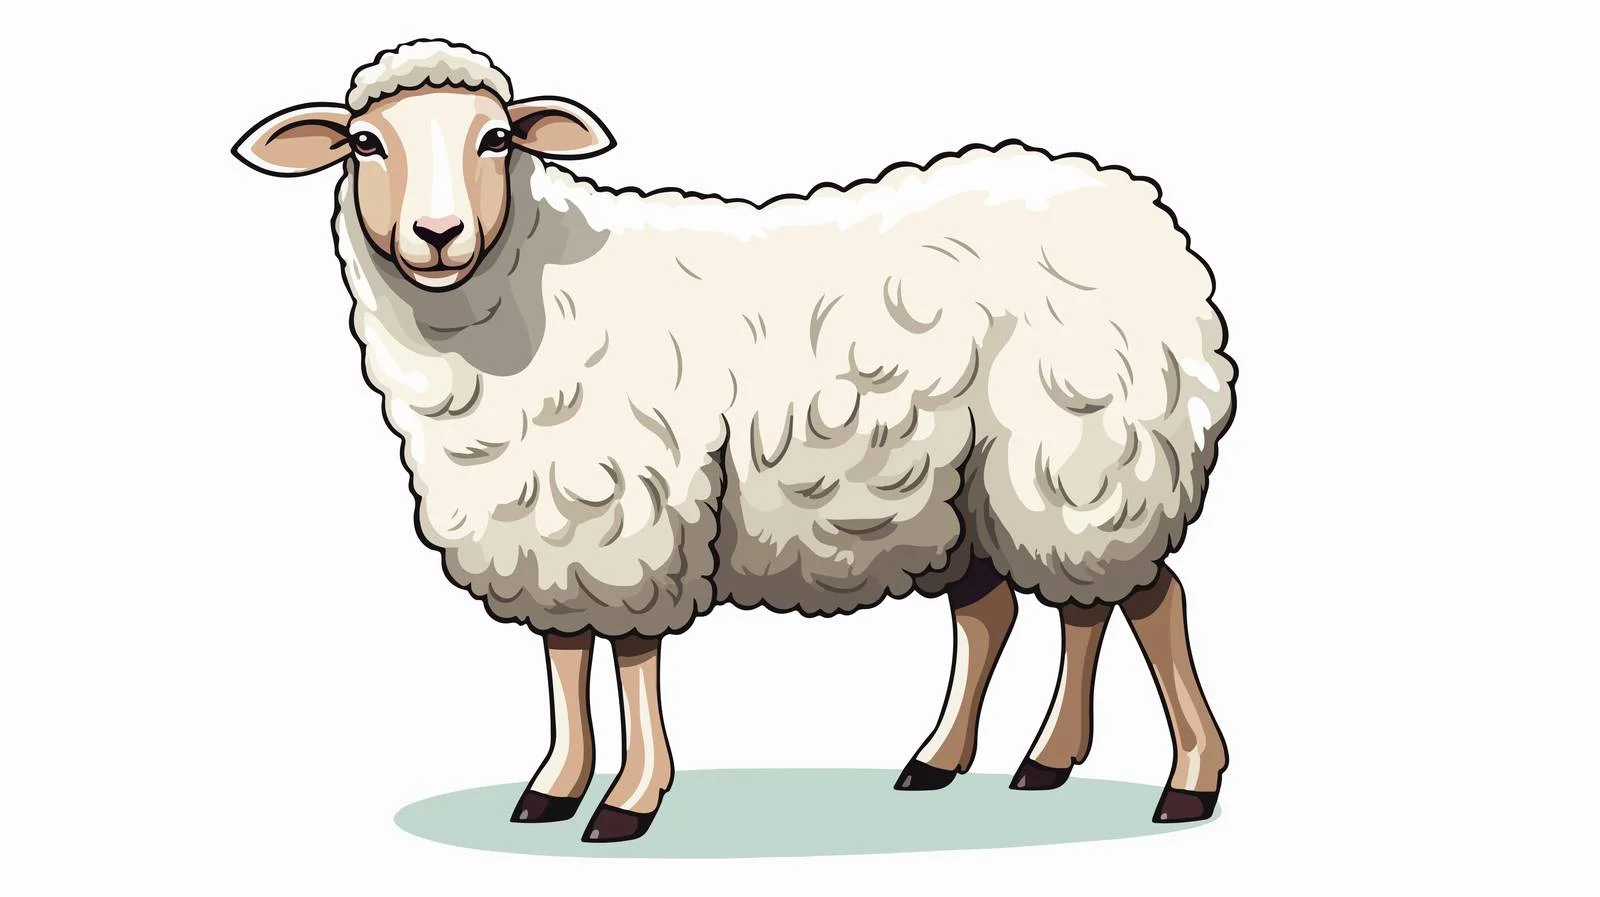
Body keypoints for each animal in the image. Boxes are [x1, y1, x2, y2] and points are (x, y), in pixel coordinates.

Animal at [233, 38, 1236, 843]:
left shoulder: (634, 507)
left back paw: (1187, 780)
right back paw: (994, 759)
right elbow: (564, 657)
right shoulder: (547, 520)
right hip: (1000, 482)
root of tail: (1127, 200)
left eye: (497, 140)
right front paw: (553, 786)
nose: (436, 235)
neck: (521, 297)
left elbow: (631, 659)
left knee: (1150, 603)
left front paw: (629, 799)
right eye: (366, 143)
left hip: (1093, 449)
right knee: (1033, 609)